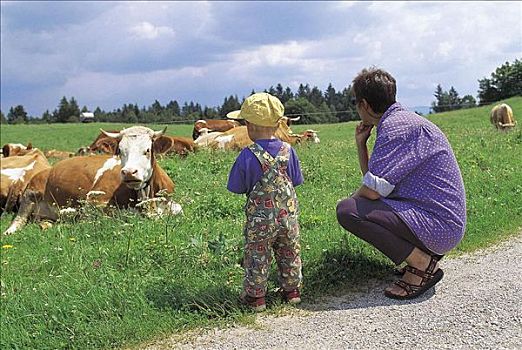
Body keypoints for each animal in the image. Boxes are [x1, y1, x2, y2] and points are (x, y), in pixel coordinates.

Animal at [3, 126, 181, 235]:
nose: (129, 172)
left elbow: (178, 210)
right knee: (19, 219)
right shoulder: (93, 202)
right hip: (30, 195)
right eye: (120, 150)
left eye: (147, 150)